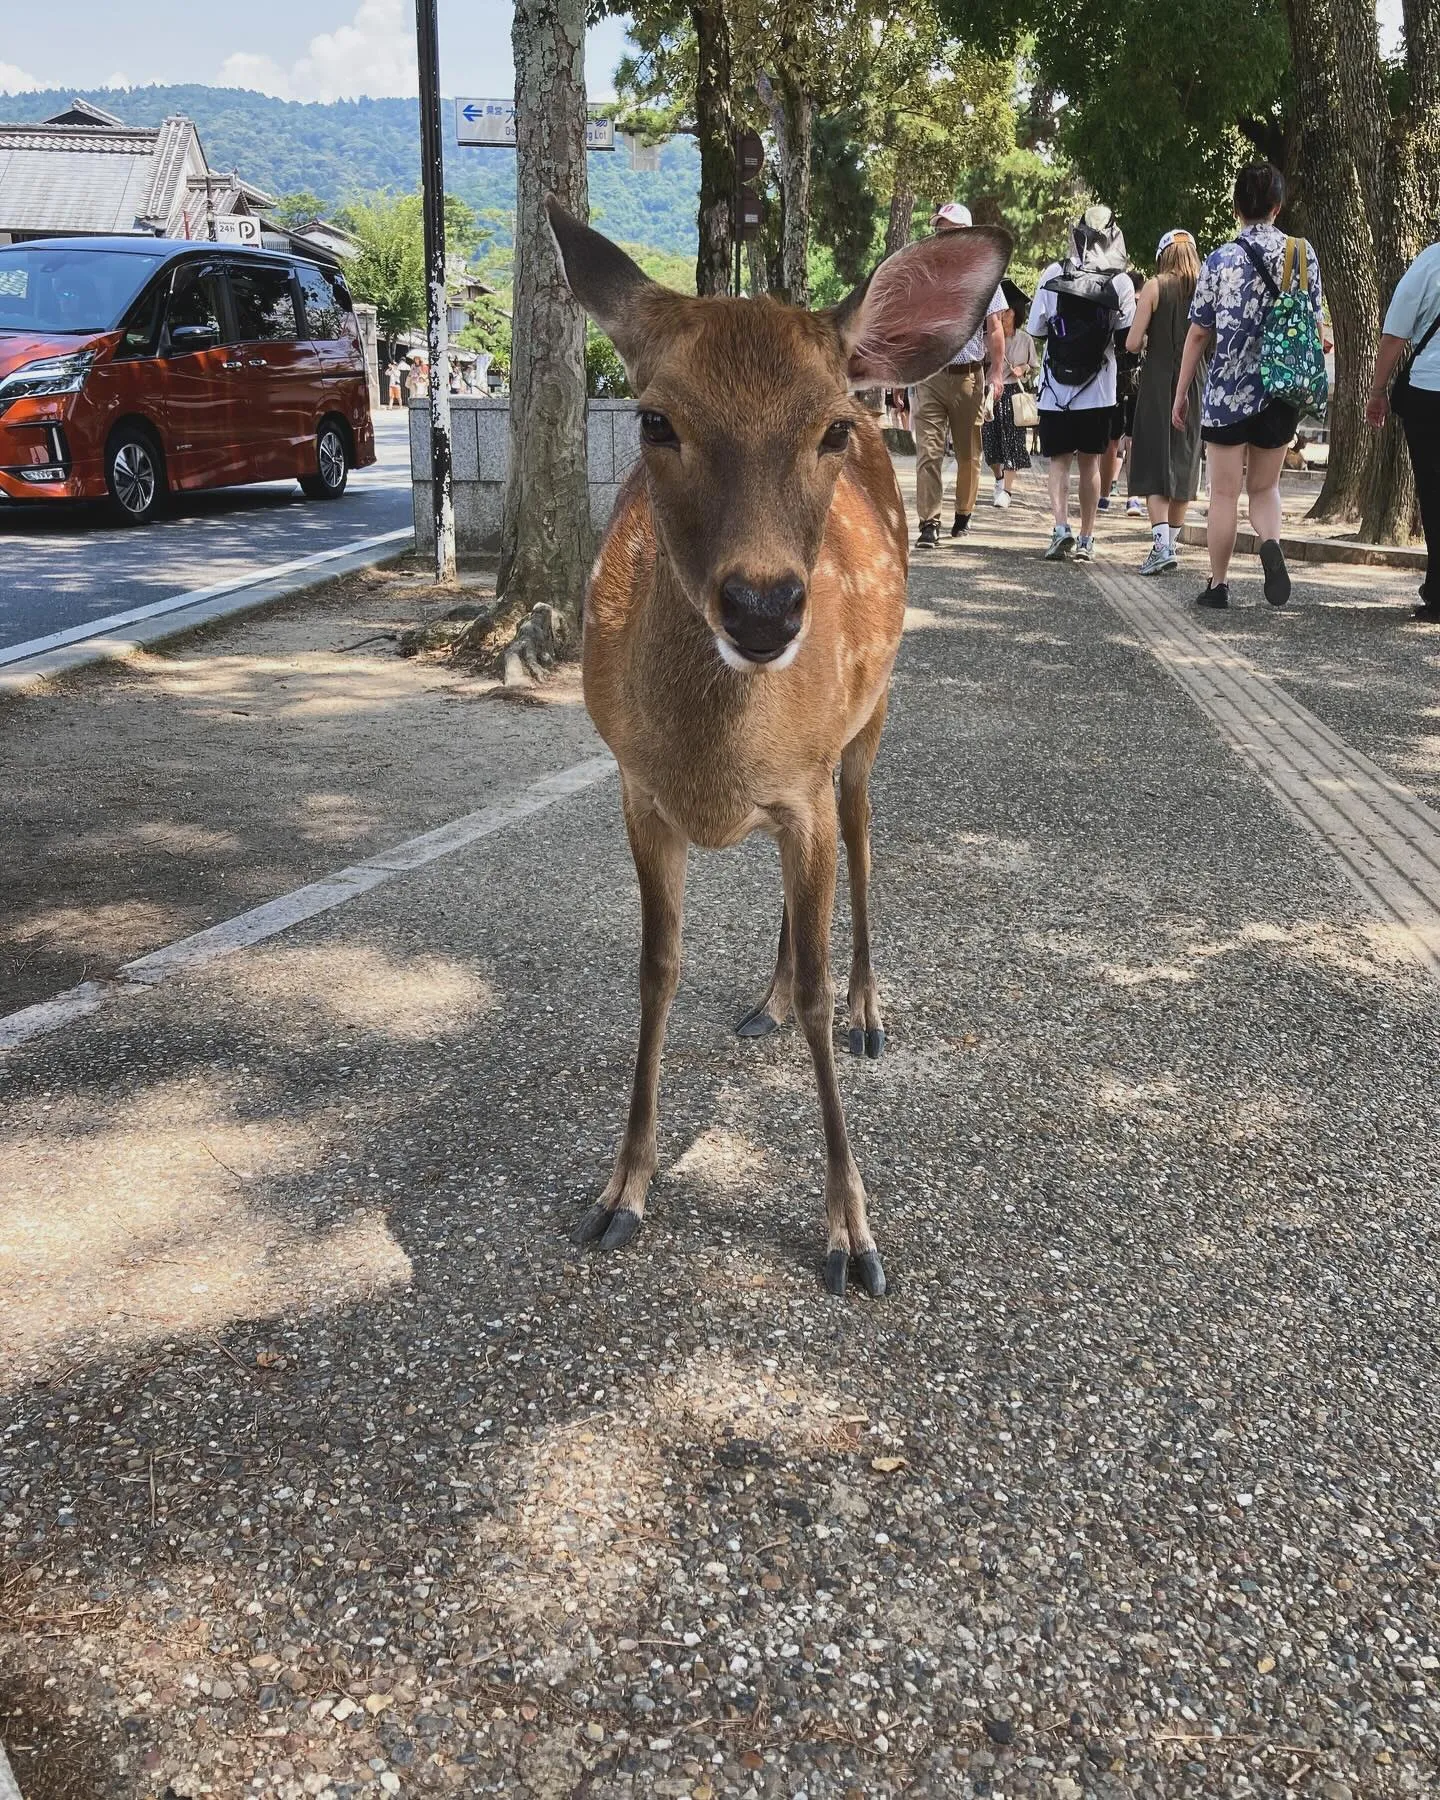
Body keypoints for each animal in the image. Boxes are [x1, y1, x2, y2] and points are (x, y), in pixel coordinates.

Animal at [550, 200, 1015, 1296]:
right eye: (654, 420)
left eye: (830, 429)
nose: (764, 607)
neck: (712, 766)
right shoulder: (637, 790)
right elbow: (656, 969)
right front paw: (621, 1191)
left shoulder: (804, 780)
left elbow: (814, 979)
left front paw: (853, 1232)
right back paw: (760, 999)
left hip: (866, 724)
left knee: (861, 847)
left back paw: (867, 1009)